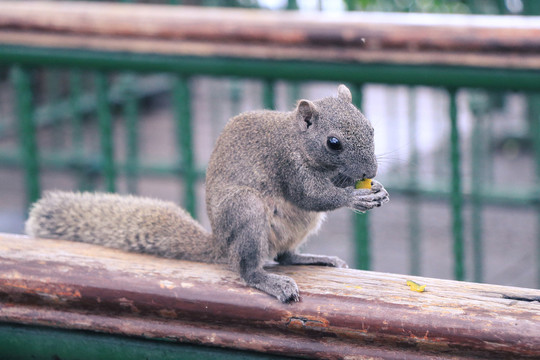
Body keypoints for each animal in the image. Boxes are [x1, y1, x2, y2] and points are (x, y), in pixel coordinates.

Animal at [25, 86, 388, 302]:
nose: (370, 170)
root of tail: (220, 243)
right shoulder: (286, 164)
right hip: (246, 210)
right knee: (247, 268)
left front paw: (376, 190)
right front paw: (353, 198)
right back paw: (270, 282)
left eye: (371, 128)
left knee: (285, 255)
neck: (298, 140)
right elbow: (311, 195)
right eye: (333, 143)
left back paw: (314, 258)